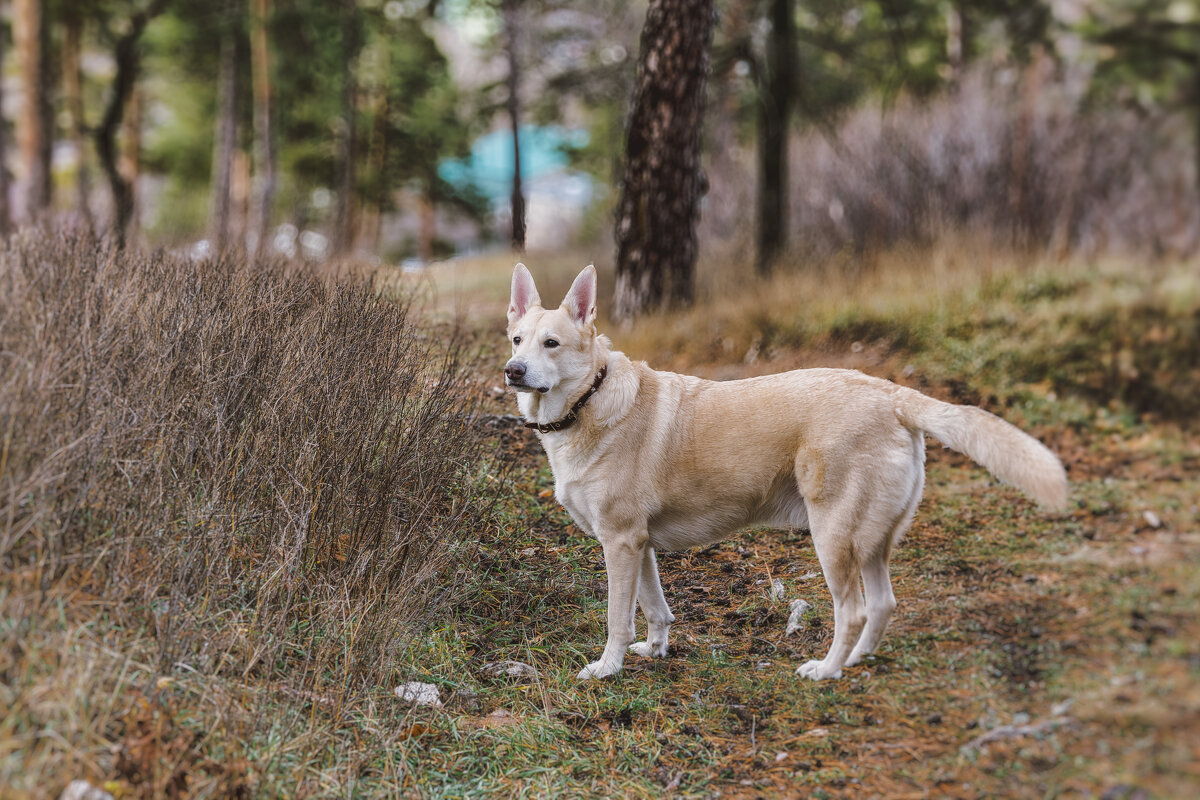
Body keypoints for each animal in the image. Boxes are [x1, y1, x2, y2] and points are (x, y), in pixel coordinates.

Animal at [506, 262, 1070, 681]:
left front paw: (608, 667)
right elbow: (654, 606)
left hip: (833, 535)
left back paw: (826, 671)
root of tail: (889, 393)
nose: (513, 371)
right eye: (516, 340)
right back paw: (856, 661)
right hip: (871, 541)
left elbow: (617, 617)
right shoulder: (638, 544)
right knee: (883, 605)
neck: (589, 399)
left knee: (854, 610)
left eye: (552, 344)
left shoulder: (621, 542)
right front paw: (656, 648)